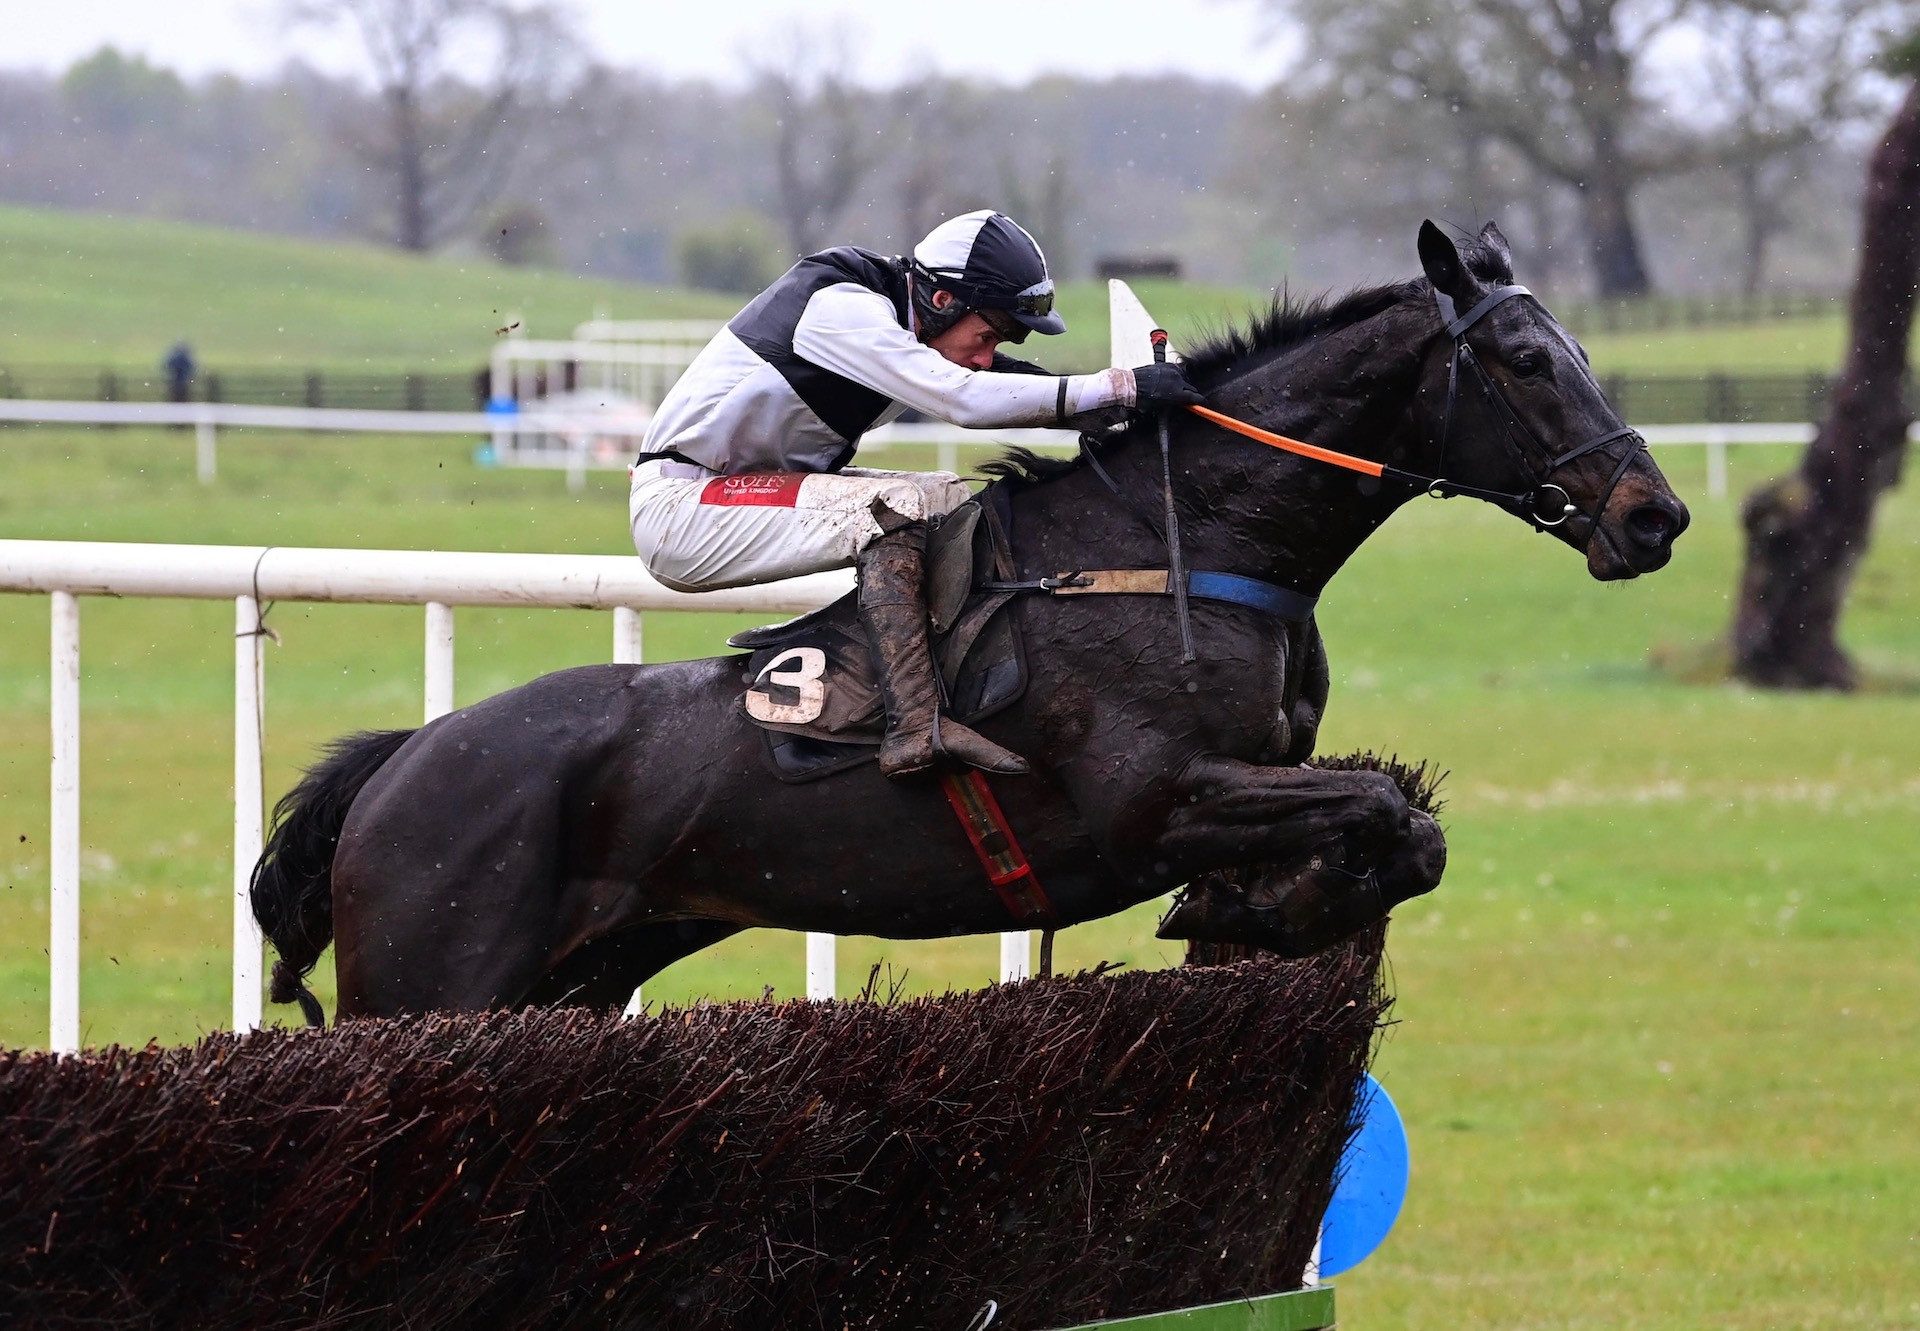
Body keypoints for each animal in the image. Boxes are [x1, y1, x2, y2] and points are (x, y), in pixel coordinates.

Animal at [247, 222, 1689, 1021]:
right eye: (1525, 359)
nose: (1655, 515)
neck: (1184, 550)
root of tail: (403, 758)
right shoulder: (1156, 798)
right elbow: (1389, 813)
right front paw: (1262, 907)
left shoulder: (1255, 776)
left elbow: (1411, 829)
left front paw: (1266, 905)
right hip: (428, 979)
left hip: (575, 978)